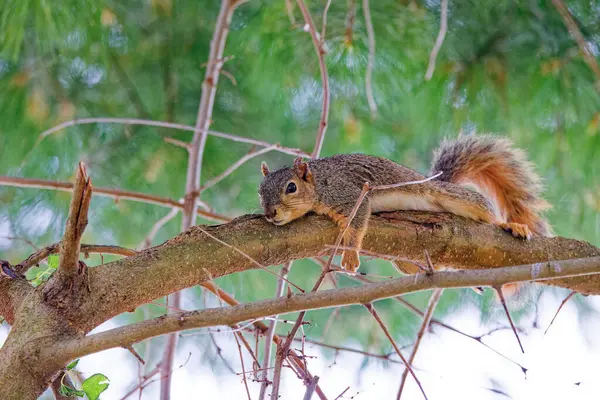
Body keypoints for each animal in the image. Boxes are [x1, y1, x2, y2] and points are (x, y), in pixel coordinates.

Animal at [256, 136, 548, 274]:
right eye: (260, 192)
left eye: (291, 187)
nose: (270, 214)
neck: (318, 183)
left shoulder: (348, 195)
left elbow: (357, 224)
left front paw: (350, 256)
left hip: (449, 197)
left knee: (487, 212)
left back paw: (511, 225)